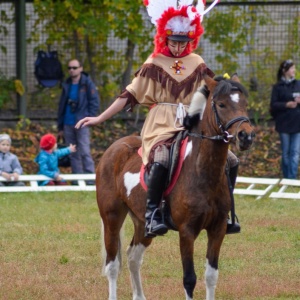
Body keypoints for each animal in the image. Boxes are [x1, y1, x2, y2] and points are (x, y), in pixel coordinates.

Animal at [96, 73, 255, 300]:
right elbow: (189, 279)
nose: (246, 136)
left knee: (133, 257)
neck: (203, 171)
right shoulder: (186, 232)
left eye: (244, 104)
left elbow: (211, 276)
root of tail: (113, 149)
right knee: (112, 264)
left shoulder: (218, 230)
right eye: (222, 104)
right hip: (112, 217)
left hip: (142, 223)